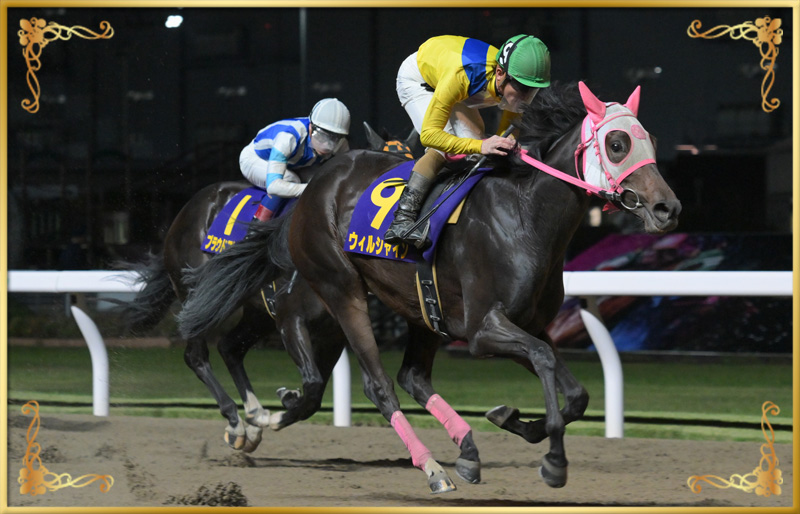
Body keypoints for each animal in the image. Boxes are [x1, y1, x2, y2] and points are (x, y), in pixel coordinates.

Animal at [120, 125, 417, 453]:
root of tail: (187, 210)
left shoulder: (333, 332)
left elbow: (316, 395)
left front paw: (279, 407)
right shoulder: (290, 317)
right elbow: (313, 383)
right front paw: (278, 407)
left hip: (257, 312)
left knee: (230, 347)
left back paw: (253, 414)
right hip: (198, 298)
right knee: (197, 356)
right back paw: (236, 422)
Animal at [177, 81, 681, 493]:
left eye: (651, 141)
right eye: (616, 143)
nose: (667, 208)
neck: (523, 215)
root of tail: (314, 187)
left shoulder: (530, 323)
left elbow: (575, 391)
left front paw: (516, 421)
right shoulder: (482, 330)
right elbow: (542, 359)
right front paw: (553, 460)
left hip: (418, 306)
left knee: (410, 376)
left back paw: (465, 451)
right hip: (340, 289)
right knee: (379, 385)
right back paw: (430, 467)